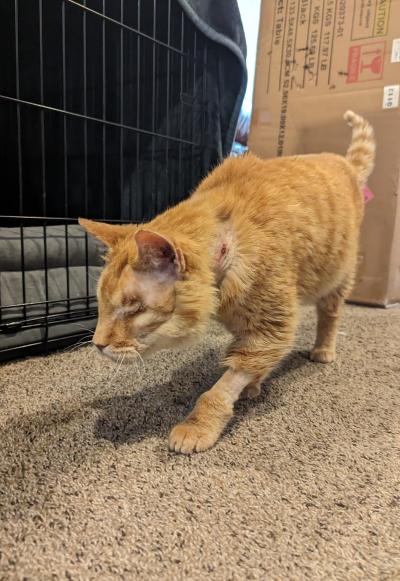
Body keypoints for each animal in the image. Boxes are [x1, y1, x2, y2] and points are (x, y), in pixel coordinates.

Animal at [80, 110, 376, 454]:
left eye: (134, 309)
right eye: (100, 305)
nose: (97, 344)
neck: (228, 240)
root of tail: (345, 162)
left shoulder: (270, 328)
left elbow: (221, 388)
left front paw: (200, 425)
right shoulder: (252, 328)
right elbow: (250, 362)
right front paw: (254, 383)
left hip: (337, 279)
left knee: (330, 316)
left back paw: (323, 349)